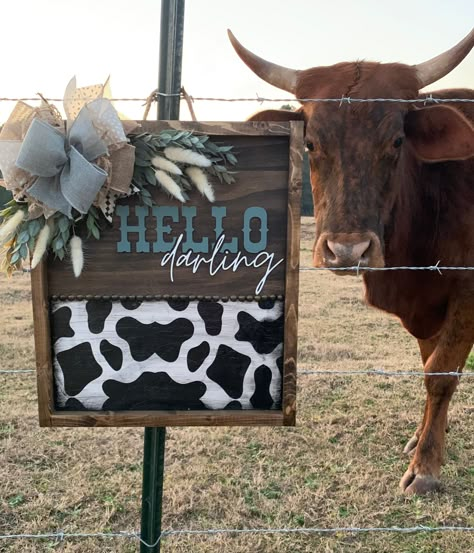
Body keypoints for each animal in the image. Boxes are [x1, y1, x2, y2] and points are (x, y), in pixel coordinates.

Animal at [230, 28, 474, 494]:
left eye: (397, 140)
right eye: (310, 142)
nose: (347, 250)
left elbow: (440, 373)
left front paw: (426, 467)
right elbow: (429, 365)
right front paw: (424, 436)